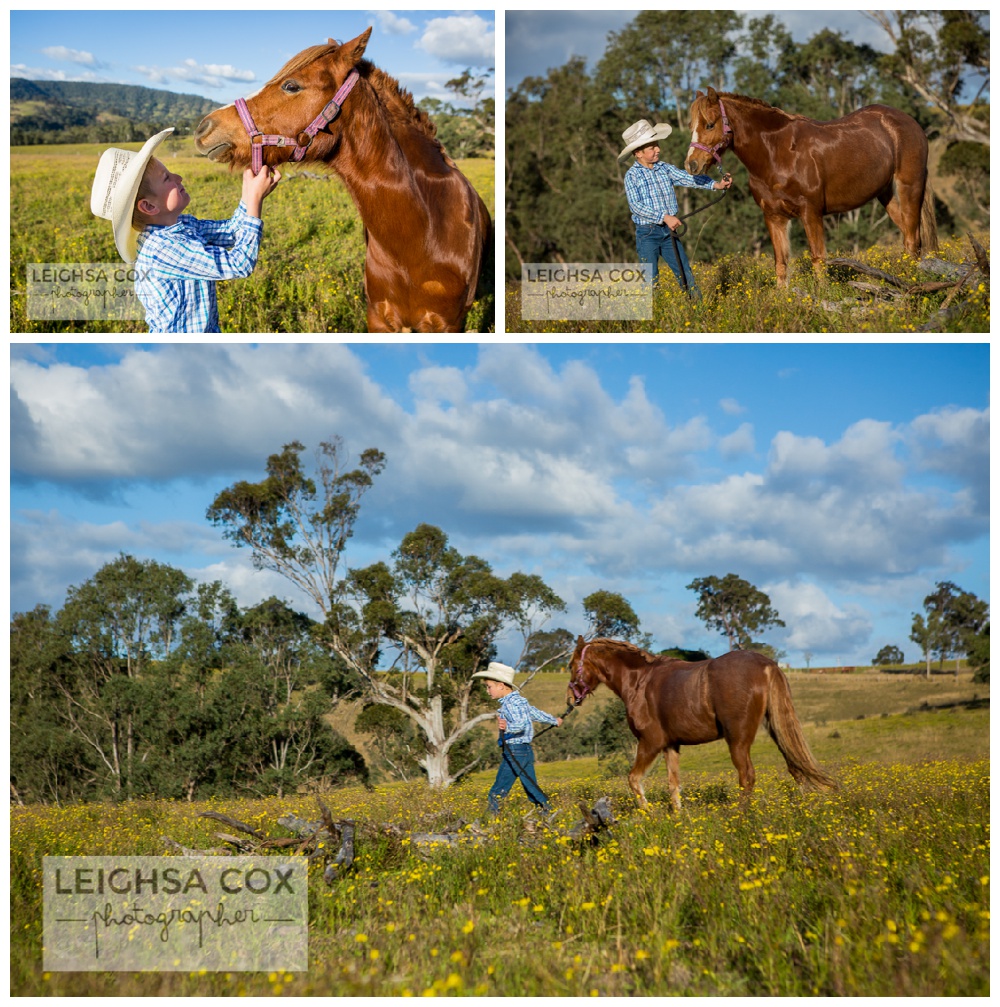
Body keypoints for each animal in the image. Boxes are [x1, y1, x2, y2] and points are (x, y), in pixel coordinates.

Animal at [563, 636, 833, 809]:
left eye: (571, 665)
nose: (571, 698)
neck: (640, 681)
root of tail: (767, 665)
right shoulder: (670, 746)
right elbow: (673, 785)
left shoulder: (650, 743)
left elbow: (634, 779)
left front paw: (647, 813)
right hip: (775, 728)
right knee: (796, 767)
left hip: (738, 740)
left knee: (747, 776)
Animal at [684, 85, 934, 288]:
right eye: (692, 126)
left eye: (709, 124)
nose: (691, 165)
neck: (777, 153)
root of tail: (908, 122)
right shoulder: (774, 216)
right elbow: (781, 263)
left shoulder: (811, 212)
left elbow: (818, 258)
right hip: (885, 193)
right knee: (907, 237)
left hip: (910, 187)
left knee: (913, 239)